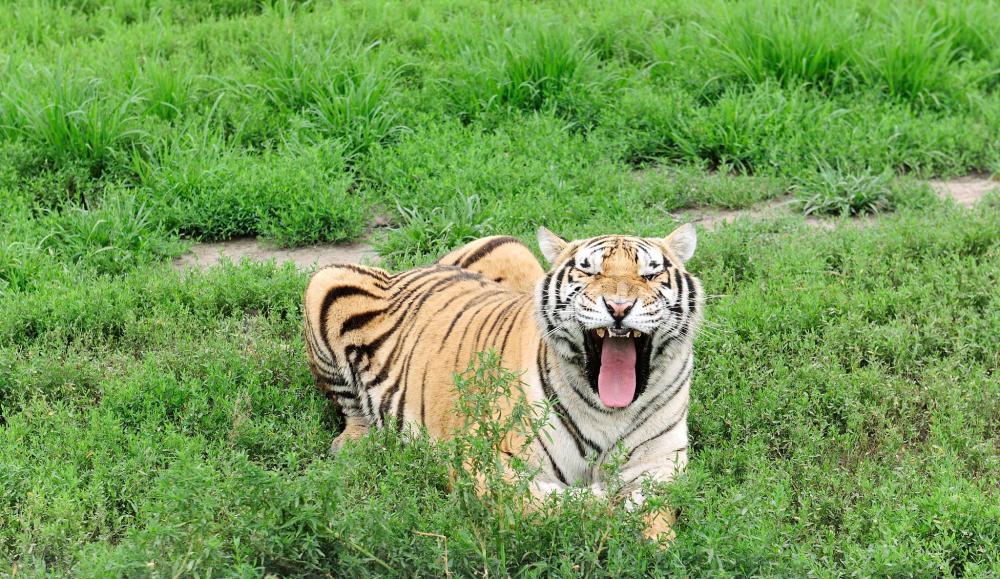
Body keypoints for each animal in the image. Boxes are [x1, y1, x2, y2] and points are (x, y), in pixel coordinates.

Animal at [304, 224, 704, 540]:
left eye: (649, 275)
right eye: (588, 273)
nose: (618, 307)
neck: (610, 413)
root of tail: (421, 267)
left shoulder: (661, 464)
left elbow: (657, 515)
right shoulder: (482, 460)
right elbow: (544, 503)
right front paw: (605, 503)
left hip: (510, 245)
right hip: (325, 280)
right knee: (352, 408)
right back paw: (354, 446)